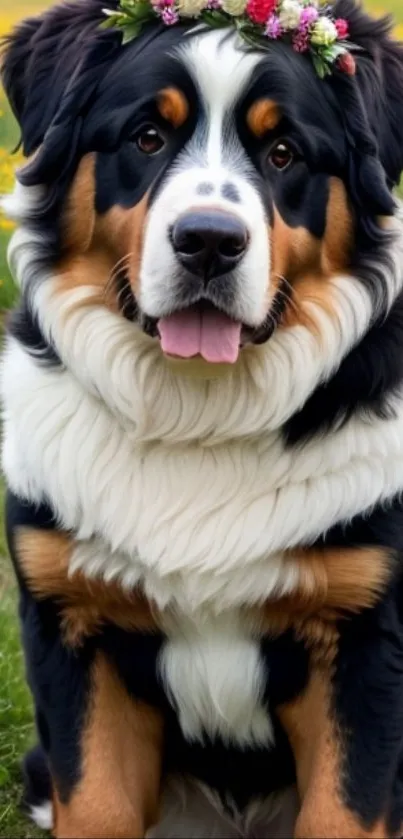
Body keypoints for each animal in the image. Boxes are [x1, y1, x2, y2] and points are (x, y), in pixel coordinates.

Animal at [2, 0, 403, 836]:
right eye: (147, 136)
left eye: (283, 151)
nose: (209, 243)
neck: (198, 410)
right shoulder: (74, 625)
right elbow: (96, 804)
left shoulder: (362, 641)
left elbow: (342, 810)